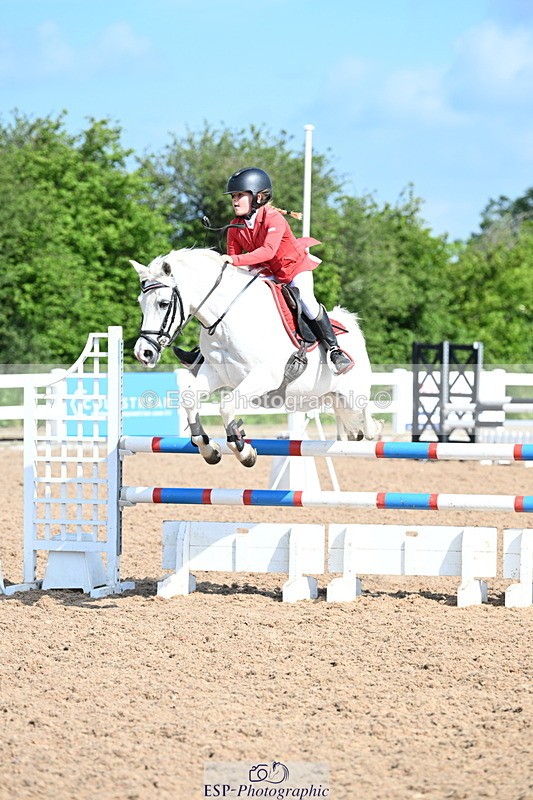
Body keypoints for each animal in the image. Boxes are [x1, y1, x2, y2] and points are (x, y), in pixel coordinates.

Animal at [131, 248, 382, 468]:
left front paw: (244, 452)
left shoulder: (263, 377)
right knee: (342, 415)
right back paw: (350, 435)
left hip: (352, 391)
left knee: (364, 408)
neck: (228, 317)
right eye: (140, 304)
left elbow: (226, 406)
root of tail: (349, 324)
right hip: (319, 396)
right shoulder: (214, 372)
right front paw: (209, 450)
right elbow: (189, 400)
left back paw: (372, 426)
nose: (144, 353)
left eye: (163, 303)